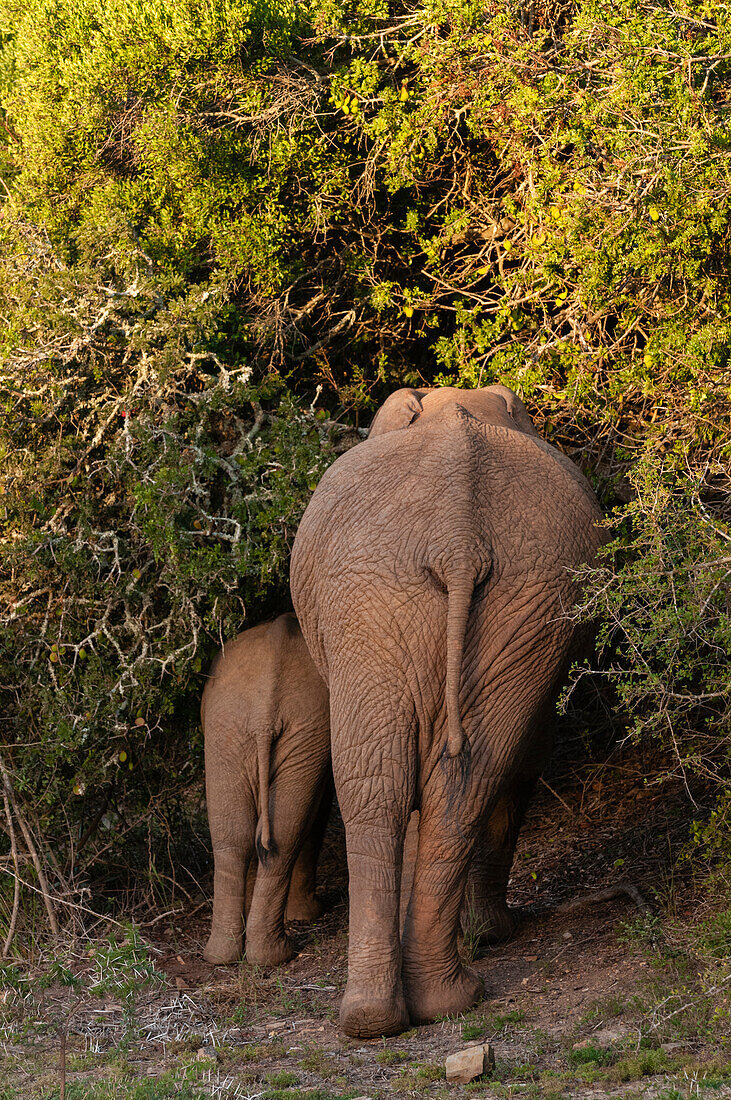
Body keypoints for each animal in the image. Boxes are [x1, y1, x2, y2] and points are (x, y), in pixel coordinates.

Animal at [201, 616, 329, 968]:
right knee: (280, 833)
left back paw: (233, 957)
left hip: (233, 730)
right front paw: (308, 916)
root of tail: (263, 714)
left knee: (236, 837)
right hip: (272, 730)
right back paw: (271, 955)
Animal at [288, 387, 602, 1038]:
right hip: (442, 599)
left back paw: (409, 1007)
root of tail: (458, 541)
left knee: (419, 783)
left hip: (465, 602)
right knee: (442, 781)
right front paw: (487, 936)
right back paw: (413, 1010)